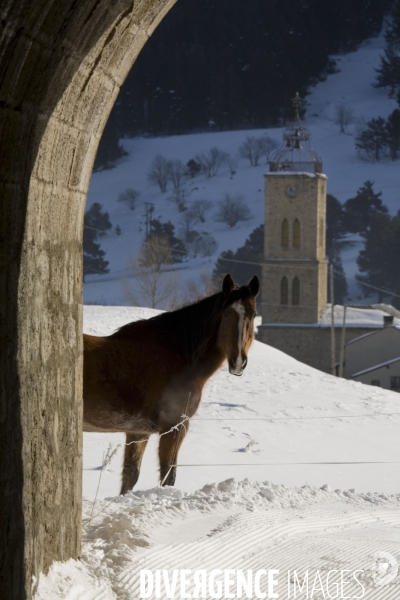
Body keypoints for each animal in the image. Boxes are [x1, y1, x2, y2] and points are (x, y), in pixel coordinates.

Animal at [83, 274, 260, 494]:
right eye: (226, 313)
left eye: (253, 315)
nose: (238, 362)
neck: (180, 356)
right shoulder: (174, 428)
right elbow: (168, 477)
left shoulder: (138, 432)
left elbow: (129, 478)